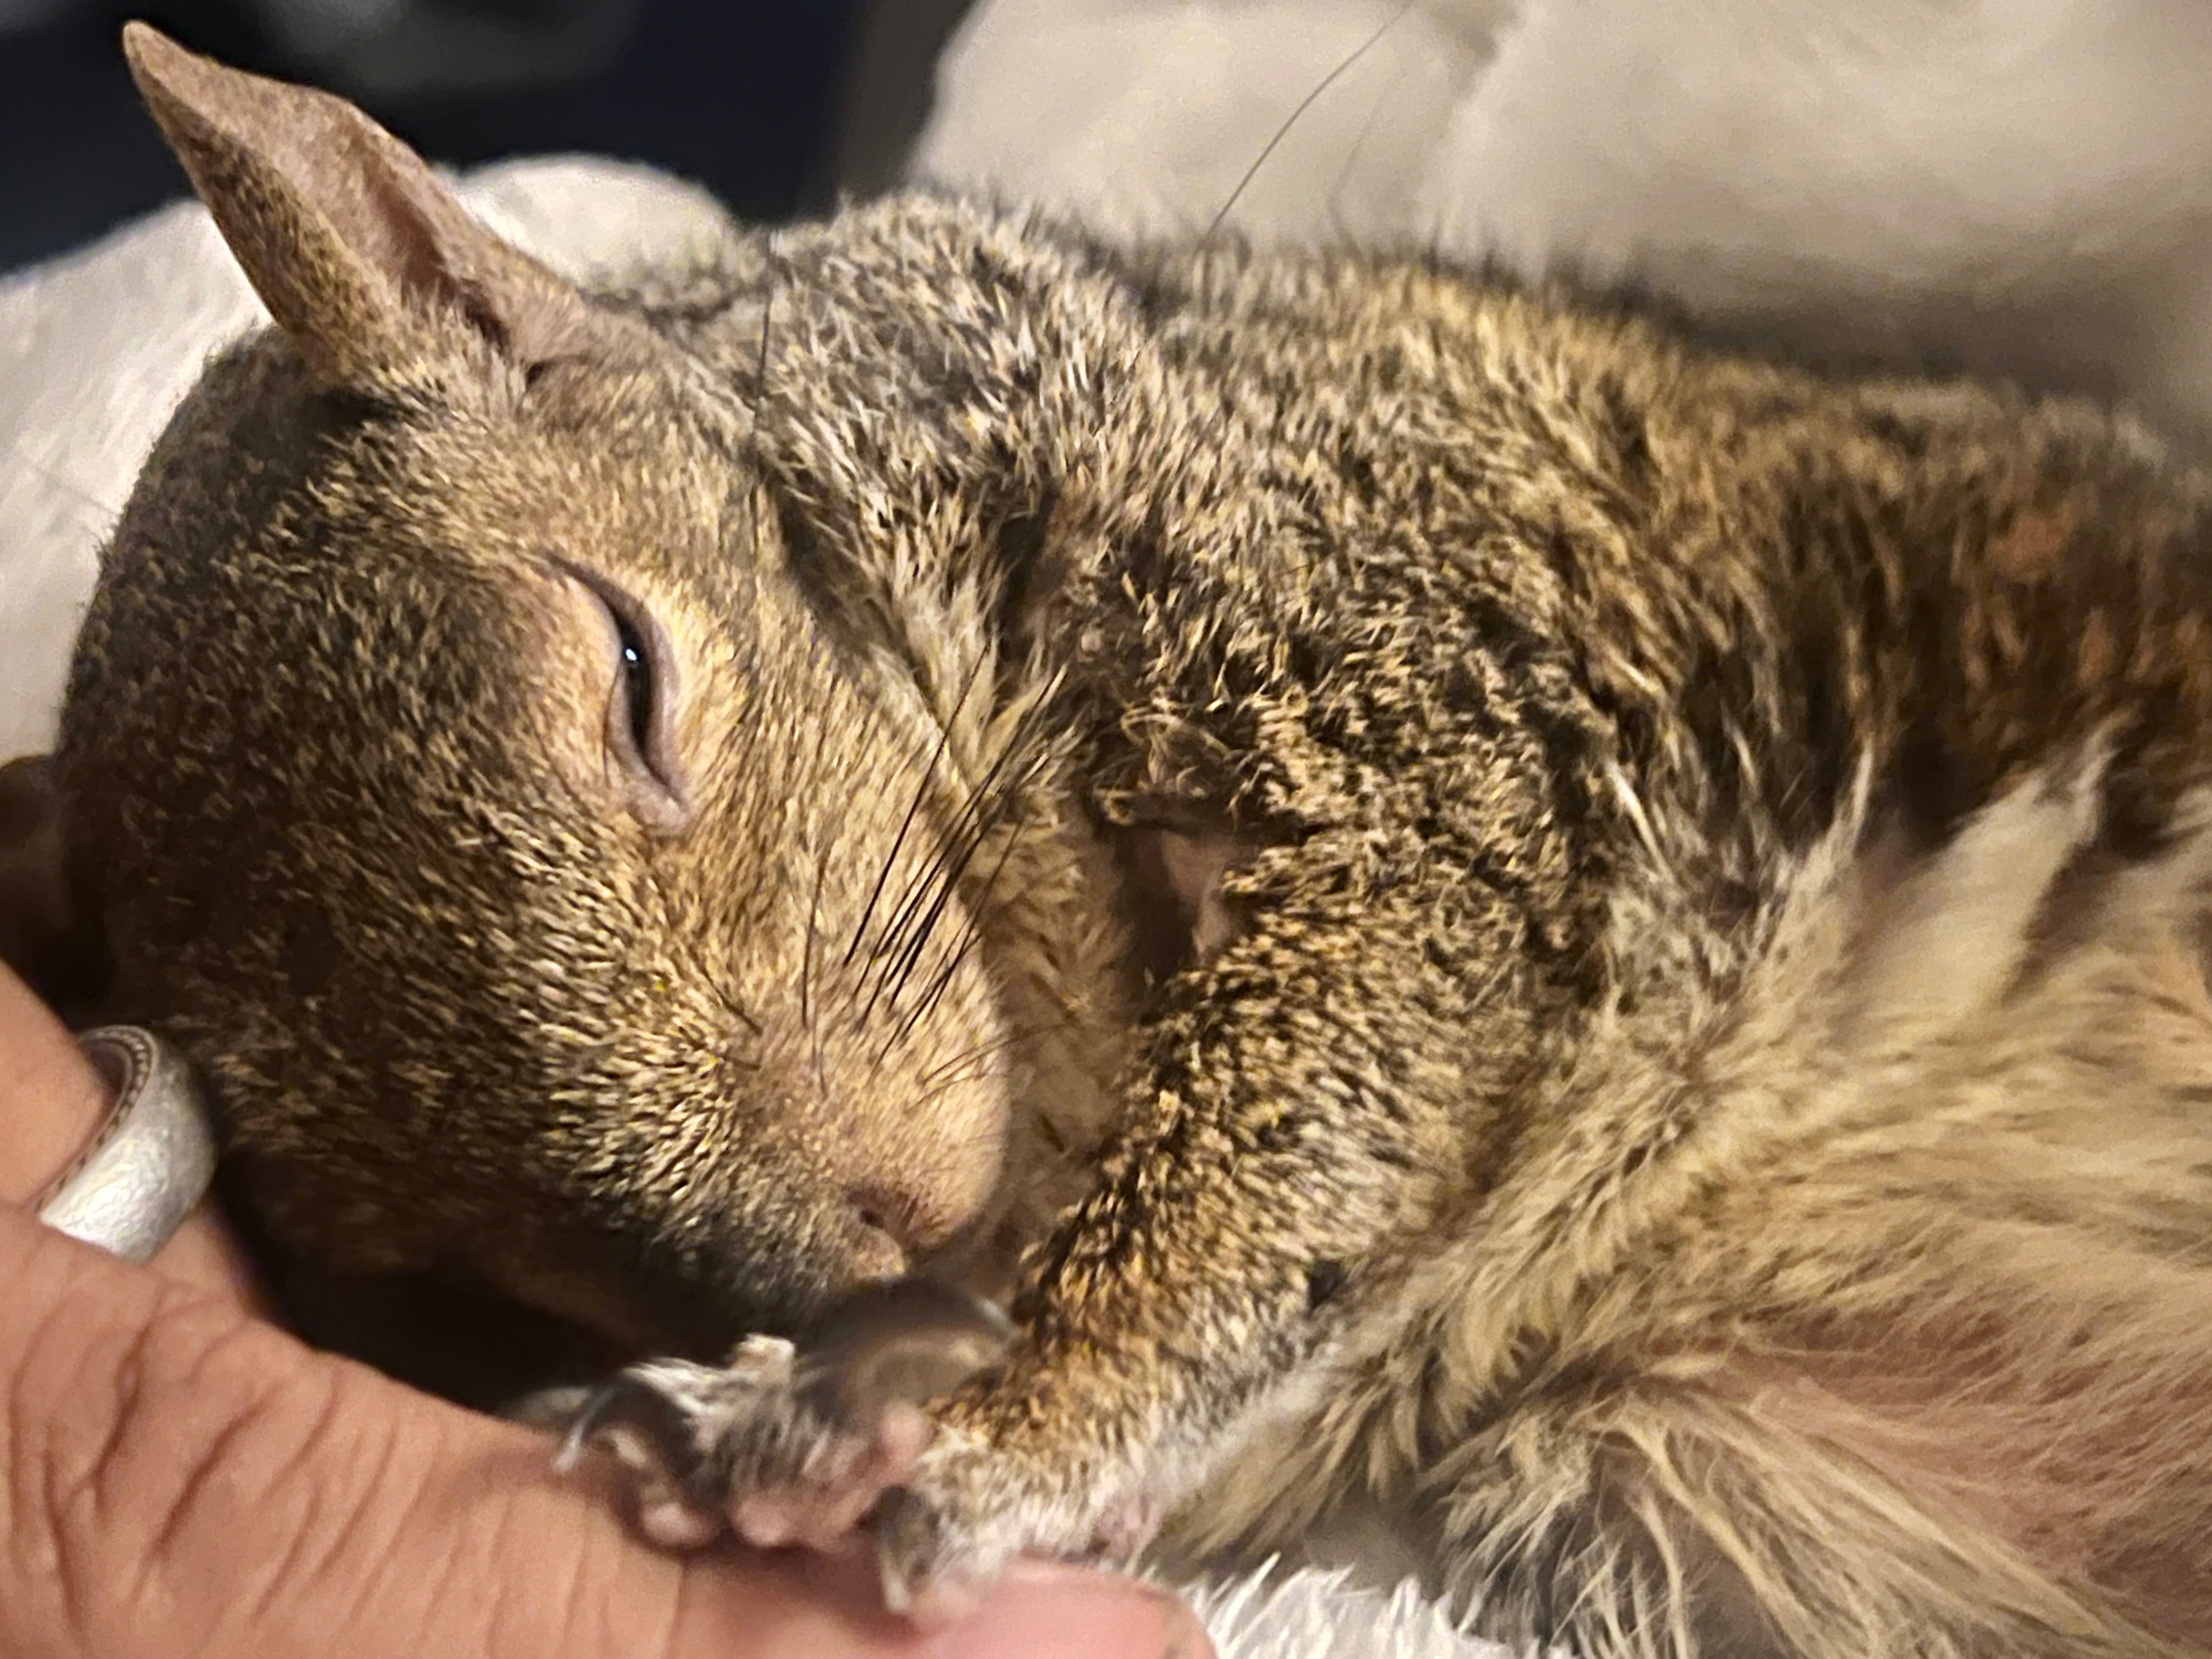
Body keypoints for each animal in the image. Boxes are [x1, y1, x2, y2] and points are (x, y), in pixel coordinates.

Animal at [28, 25, 2212, 1657]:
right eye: (402, 1245)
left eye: (635, 678)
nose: (854, 1259)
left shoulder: (1420, 674)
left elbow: (1305, 1101)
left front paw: (974, 1422)